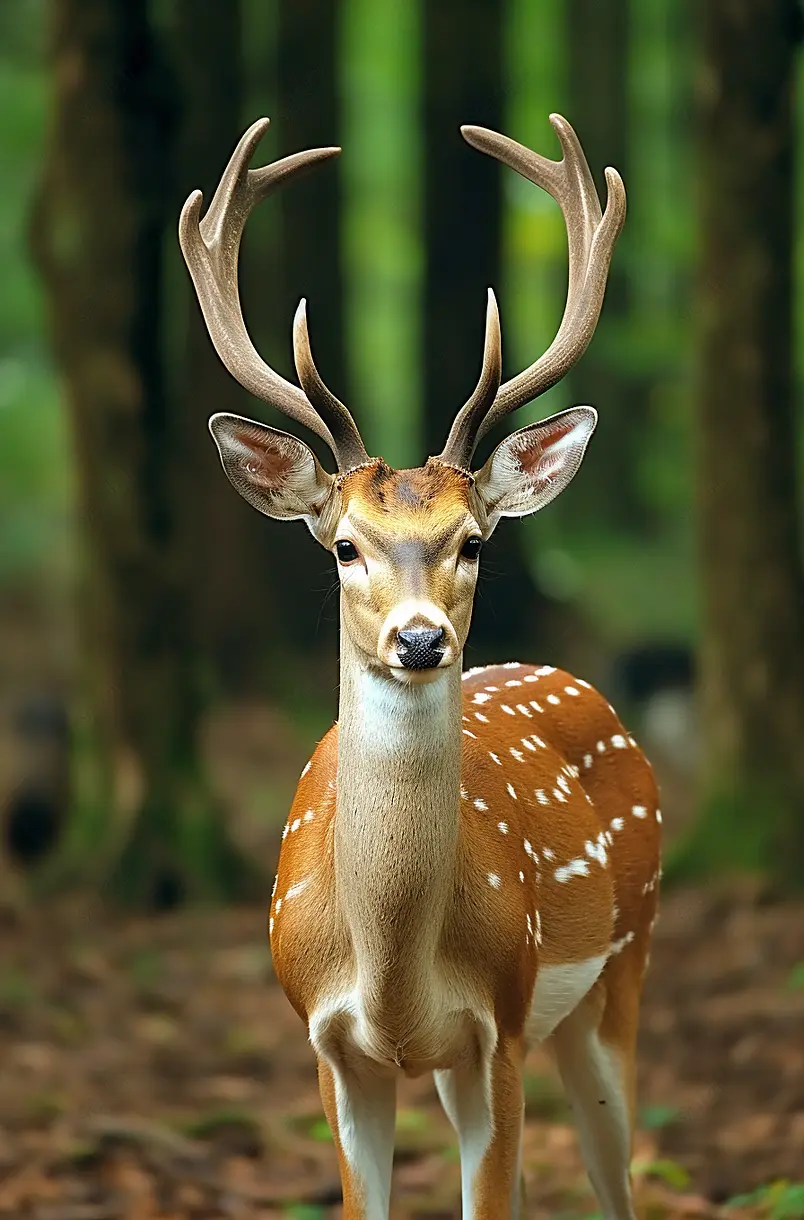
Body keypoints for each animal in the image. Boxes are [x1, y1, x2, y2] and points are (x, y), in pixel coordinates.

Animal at [180, 113, 661, 1220]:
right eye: (344, 546)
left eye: (474, 540)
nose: (419, 639)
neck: (394, 970)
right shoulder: (331, 1046)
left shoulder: (503, 1027)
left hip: (621, 967)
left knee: (620, 1172)